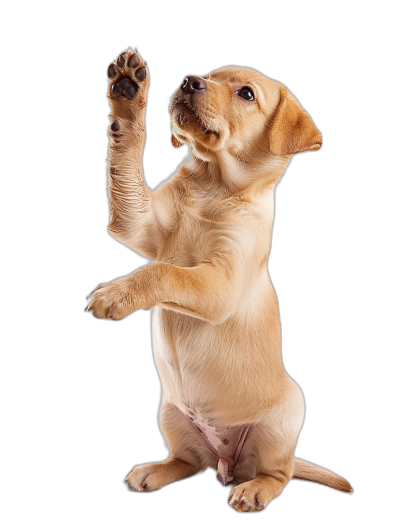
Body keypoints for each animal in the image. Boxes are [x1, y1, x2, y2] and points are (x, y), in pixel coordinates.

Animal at [85, 48, 354, 512]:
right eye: (209, 77)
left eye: (246, 94)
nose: (190, 80)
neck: (211, 186)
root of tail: (230, 463)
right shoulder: (139, 224)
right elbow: (125, 169)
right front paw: (128, 95)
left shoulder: (221, 285)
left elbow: (164, 271)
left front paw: (117, 294)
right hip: (171, 415)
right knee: (191, 462)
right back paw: (155, 471)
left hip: (283, 421)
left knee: (278, 473)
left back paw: (254, 491)